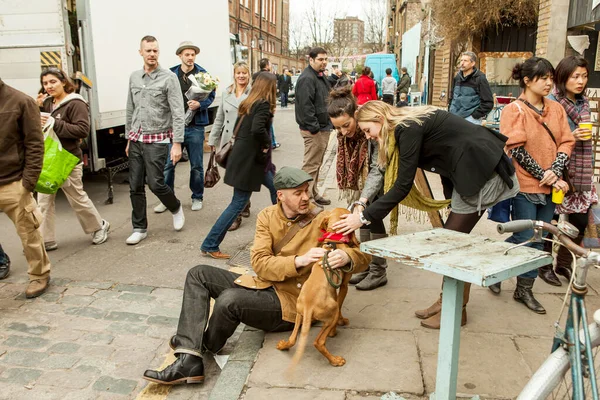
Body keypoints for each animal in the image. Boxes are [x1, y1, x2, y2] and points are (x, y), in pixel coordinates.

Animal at [276, 208, 360, 368]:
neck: (334, 240)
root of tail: (309, 307)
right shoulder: (344, 286)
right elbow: (341, 305)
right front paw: (338, 326)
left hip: (299, 314)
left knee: (293, 339)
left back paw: (283, 345)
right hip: (331, 313)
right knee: (319, 342)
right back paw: (335, 360)